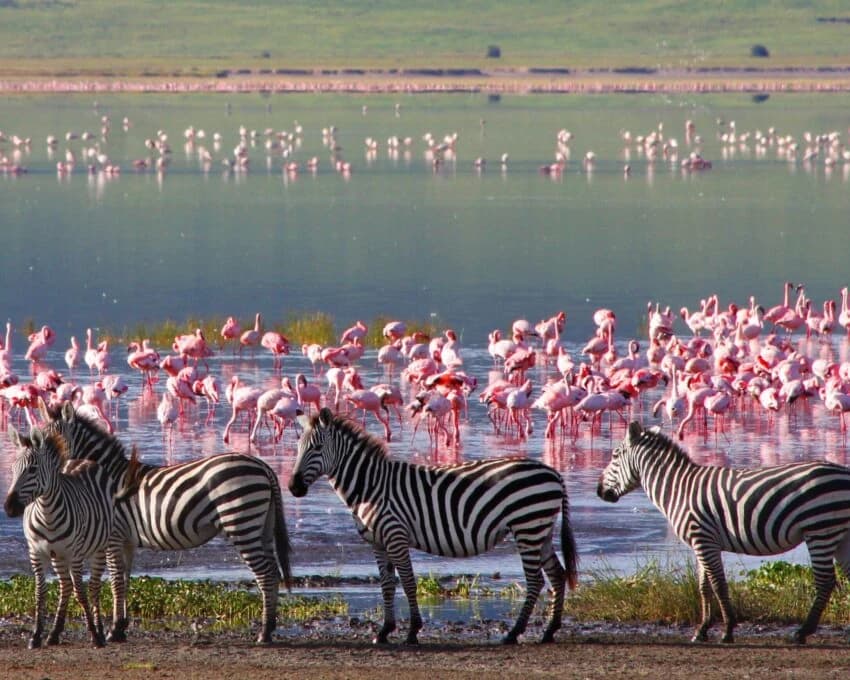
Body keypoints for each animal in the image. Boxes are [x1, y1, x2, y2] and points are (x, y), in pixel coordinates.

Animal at [4, 426, 122, 648]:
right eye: (13, 469)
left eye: (32, 469)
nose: (8, 507)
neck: (46, 513)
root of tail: (83, 460)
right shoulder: (36, 552)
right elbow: (40, 591)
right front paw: (36, 635)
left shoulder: (74, 554)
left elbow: (81, 592)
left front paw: (94, 634)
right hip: (57, 555)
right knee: (65, 586)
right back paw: (54, 633)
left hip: (99, 548)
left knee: (92, 587)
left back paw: (100, 631)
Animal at [41, 401, 293, 645]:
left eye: (53, 442)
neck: (106, 479)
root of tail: (264, 467)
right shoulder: (126, 540)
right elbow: (125, 578)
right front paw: (121, 627)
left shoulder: (113, 537)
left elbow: (115, 581)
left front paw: (113, 630)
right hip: (262, 525)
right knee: (272, 570)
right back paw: (270, 627)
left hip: (241, 521)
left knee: (265, 573)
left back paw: (264, 633)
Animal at [289, 407, 578, 645]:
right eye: (298, 447)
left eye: (316, 448)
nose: (293, 487)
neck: (370, 487)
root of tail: (554, 473)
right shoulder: (378, 542)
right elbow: (386, 584)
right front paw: (384, 631)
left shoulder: (396, 535)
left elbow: (407, 582)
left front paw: (412, 631)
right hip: (540, 530)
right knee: (557, 574)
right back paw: (549, 631)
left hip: (527, 526)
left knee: (535, 580)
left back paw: (514, 633)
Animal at [598, 420, 850, 644]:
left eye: (614, 455)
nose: (599, 491)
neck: (678, 488)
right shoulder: (702, 543)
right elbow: (704, 586)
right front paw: (702, 630)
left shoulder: (703, 539)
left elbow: (718, 584)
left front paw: (727, 631)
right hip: (839, 536)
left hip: (820, 530)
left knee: (825, 581)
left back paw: (802, 632)